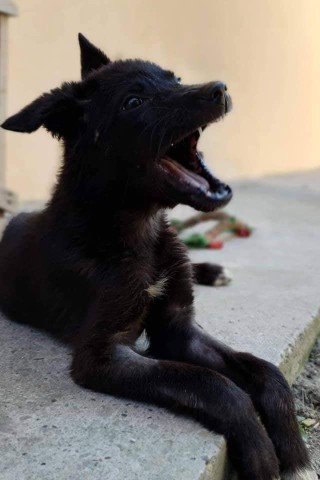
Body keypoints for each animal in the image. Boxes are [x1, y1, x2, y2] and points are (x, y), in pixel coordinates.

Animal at [0, 35, 316, 478]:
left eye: (176, 78)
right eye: (133, 102)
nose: (220, 89)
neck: (139, 232)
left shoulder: (179, 326)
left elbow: (265, 371)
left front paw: (296, 456)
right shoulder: (103, 353)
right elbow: (212, 384)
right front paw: (262, 456)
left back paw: (213, 269)